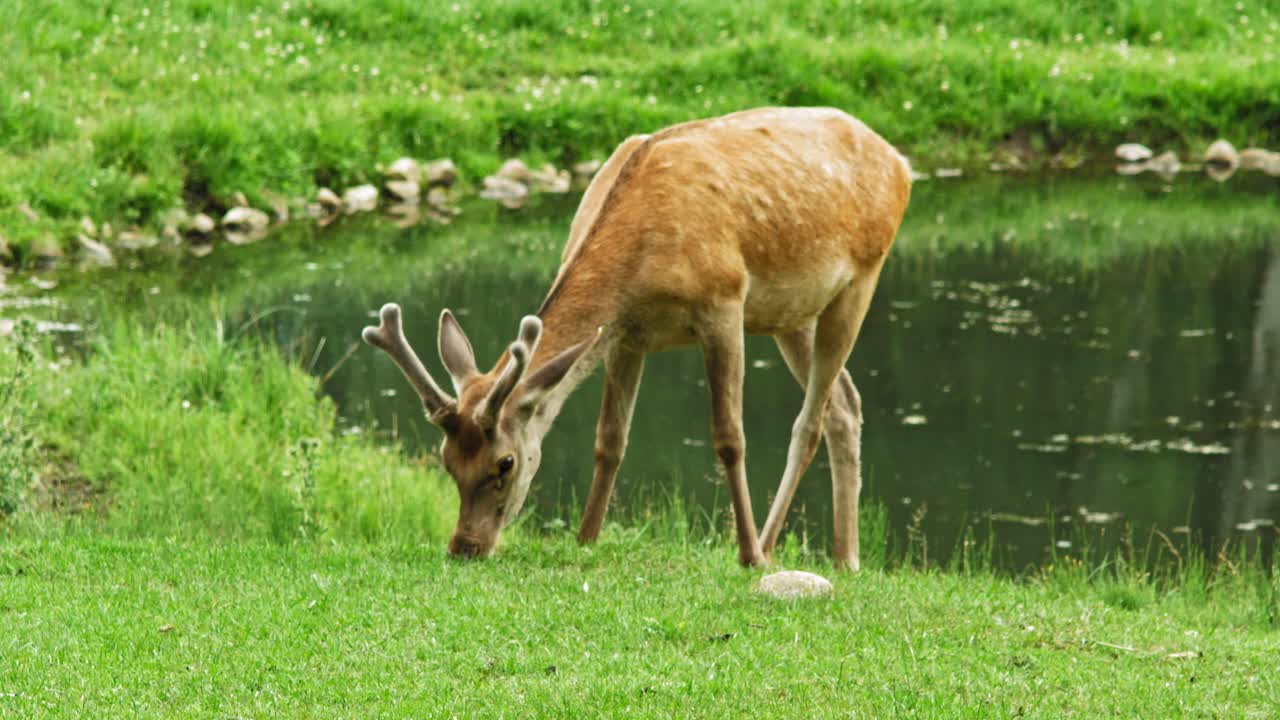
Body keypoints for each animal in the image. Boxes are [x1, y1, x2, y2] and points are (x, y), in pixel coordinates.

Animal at [362, 107, 912, 570]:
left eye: (505, 462)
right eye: (447, 460)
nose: (465, 546)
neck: (641, 253)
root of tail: (900, 162)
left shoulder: (723, 301)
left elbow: (729, 437)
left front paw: (747, 554)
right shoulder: (626, 336)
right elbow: (609, 441)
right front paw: (586, 539)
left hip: (862, 276)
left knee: (811, 419)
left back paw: (774, 547)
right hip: (791, 314)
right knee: (845, 403)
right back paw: (843, 557)